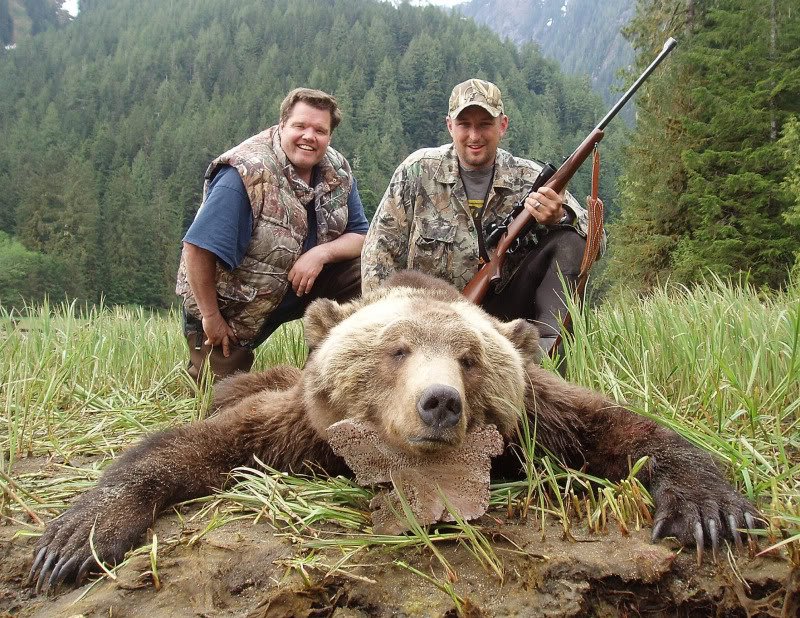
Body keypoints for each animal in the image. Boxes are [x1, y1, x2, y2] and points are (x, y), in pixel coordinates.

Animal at [29, 271, 761, 592]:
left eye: (469, 358)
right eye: (397, 350)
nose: (440, 404)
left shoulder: (544, 419)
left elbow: (621, 429)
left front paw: (709, 508)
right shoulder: (299, 428)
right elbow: (193, 444)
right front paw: (76, 537)